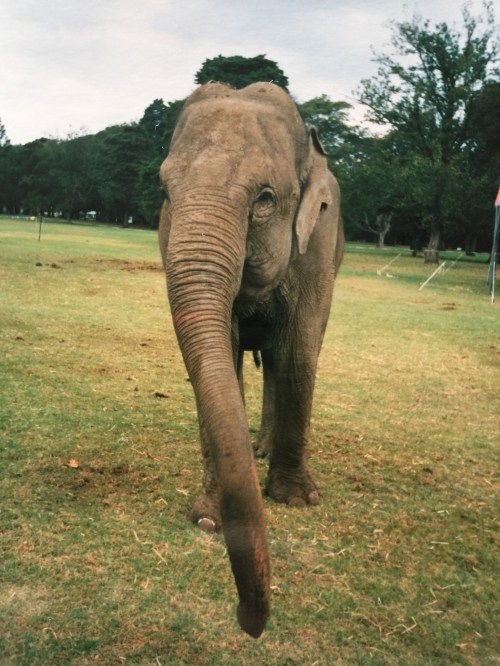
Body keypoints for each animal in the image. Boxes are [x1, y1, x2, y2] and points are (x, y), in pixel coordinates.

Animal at [158, 82, 344, 638]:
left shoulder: (319, 243)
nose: (249, 621)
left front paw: (297, 499)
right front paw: (207, 518)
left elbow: (299, 352)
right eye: (164, 193)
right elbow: (224, 356)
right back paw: (258, 448)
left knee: (285, 359)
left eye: (264, 200)